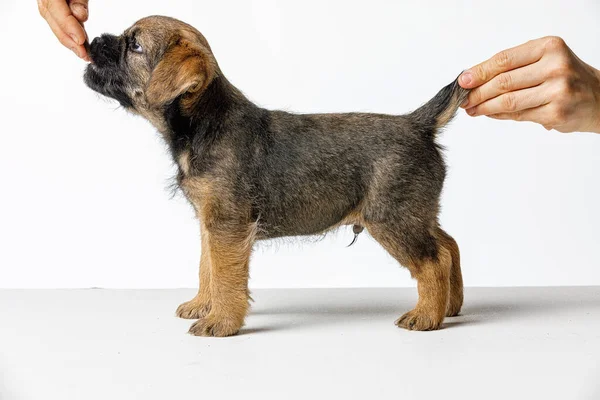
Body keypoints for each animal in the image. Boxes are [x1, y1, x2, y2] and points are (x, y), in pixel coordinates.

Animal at [83, 15, 468, 336]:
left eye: (134, 45)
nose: (94, 40)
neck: (204, 123)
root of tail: (417, 124)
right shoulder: (211, 223)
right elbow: (207, 267)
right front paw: (202, 305)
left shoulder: (227, 224)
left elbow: (224, 275)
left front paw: (220, 321)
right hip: (415, 213)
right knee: (449, 245)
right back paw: (450, 306)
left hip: (392, 217)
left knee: (433, 260)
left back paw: (426, 316)